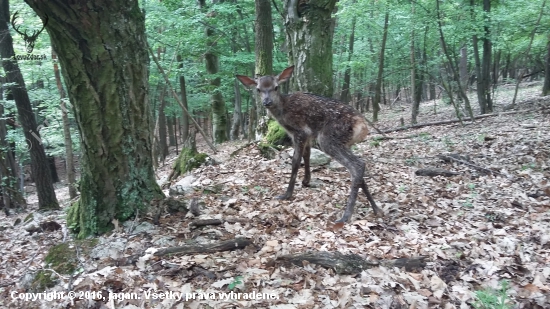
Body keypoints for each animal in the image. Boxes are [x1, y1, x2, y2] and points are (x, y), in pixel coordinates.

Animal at [237, 65, 384, 221]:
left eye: (276, 87)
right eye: (258, 89)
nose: (267, 102)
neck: (283, 112)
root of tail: (363, 126)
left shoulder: (300, 131)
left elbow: (295, 161)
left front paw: (287, 194)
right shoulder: (308, 135)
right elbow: (307, 155)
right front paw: (306, 181)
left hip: (328, 138)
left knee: (357, 165)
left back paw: (346, 216)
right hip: (343, 142)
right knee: (358, 166)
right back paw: (376, 209)